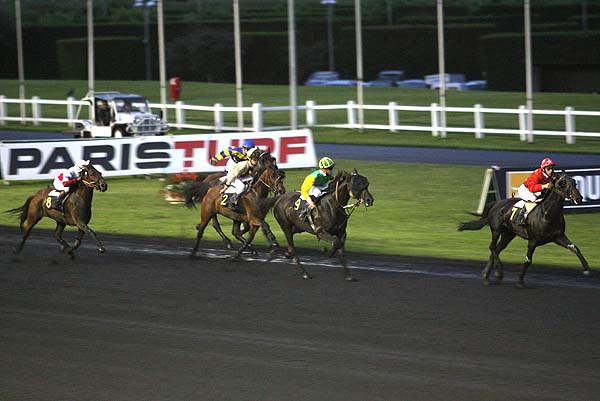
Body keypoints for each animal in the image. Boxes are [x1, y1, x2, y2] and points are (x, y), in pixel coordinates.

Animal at [460, 173, 592, 286]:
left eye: (575, 183)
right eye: (563, 183)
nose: (579, 198)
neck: (548, 214)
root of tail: (495, 203)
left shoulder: (558, 236)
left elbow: (574, 248)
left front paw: (586, 268)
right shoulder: (533, 240)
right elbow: (528, 260)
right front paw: (520, 281)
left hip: (508, 234)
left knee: (496, 250)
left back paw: (487, 275)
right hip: (496, 229)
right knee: (492, 247)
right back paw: (498, 273)